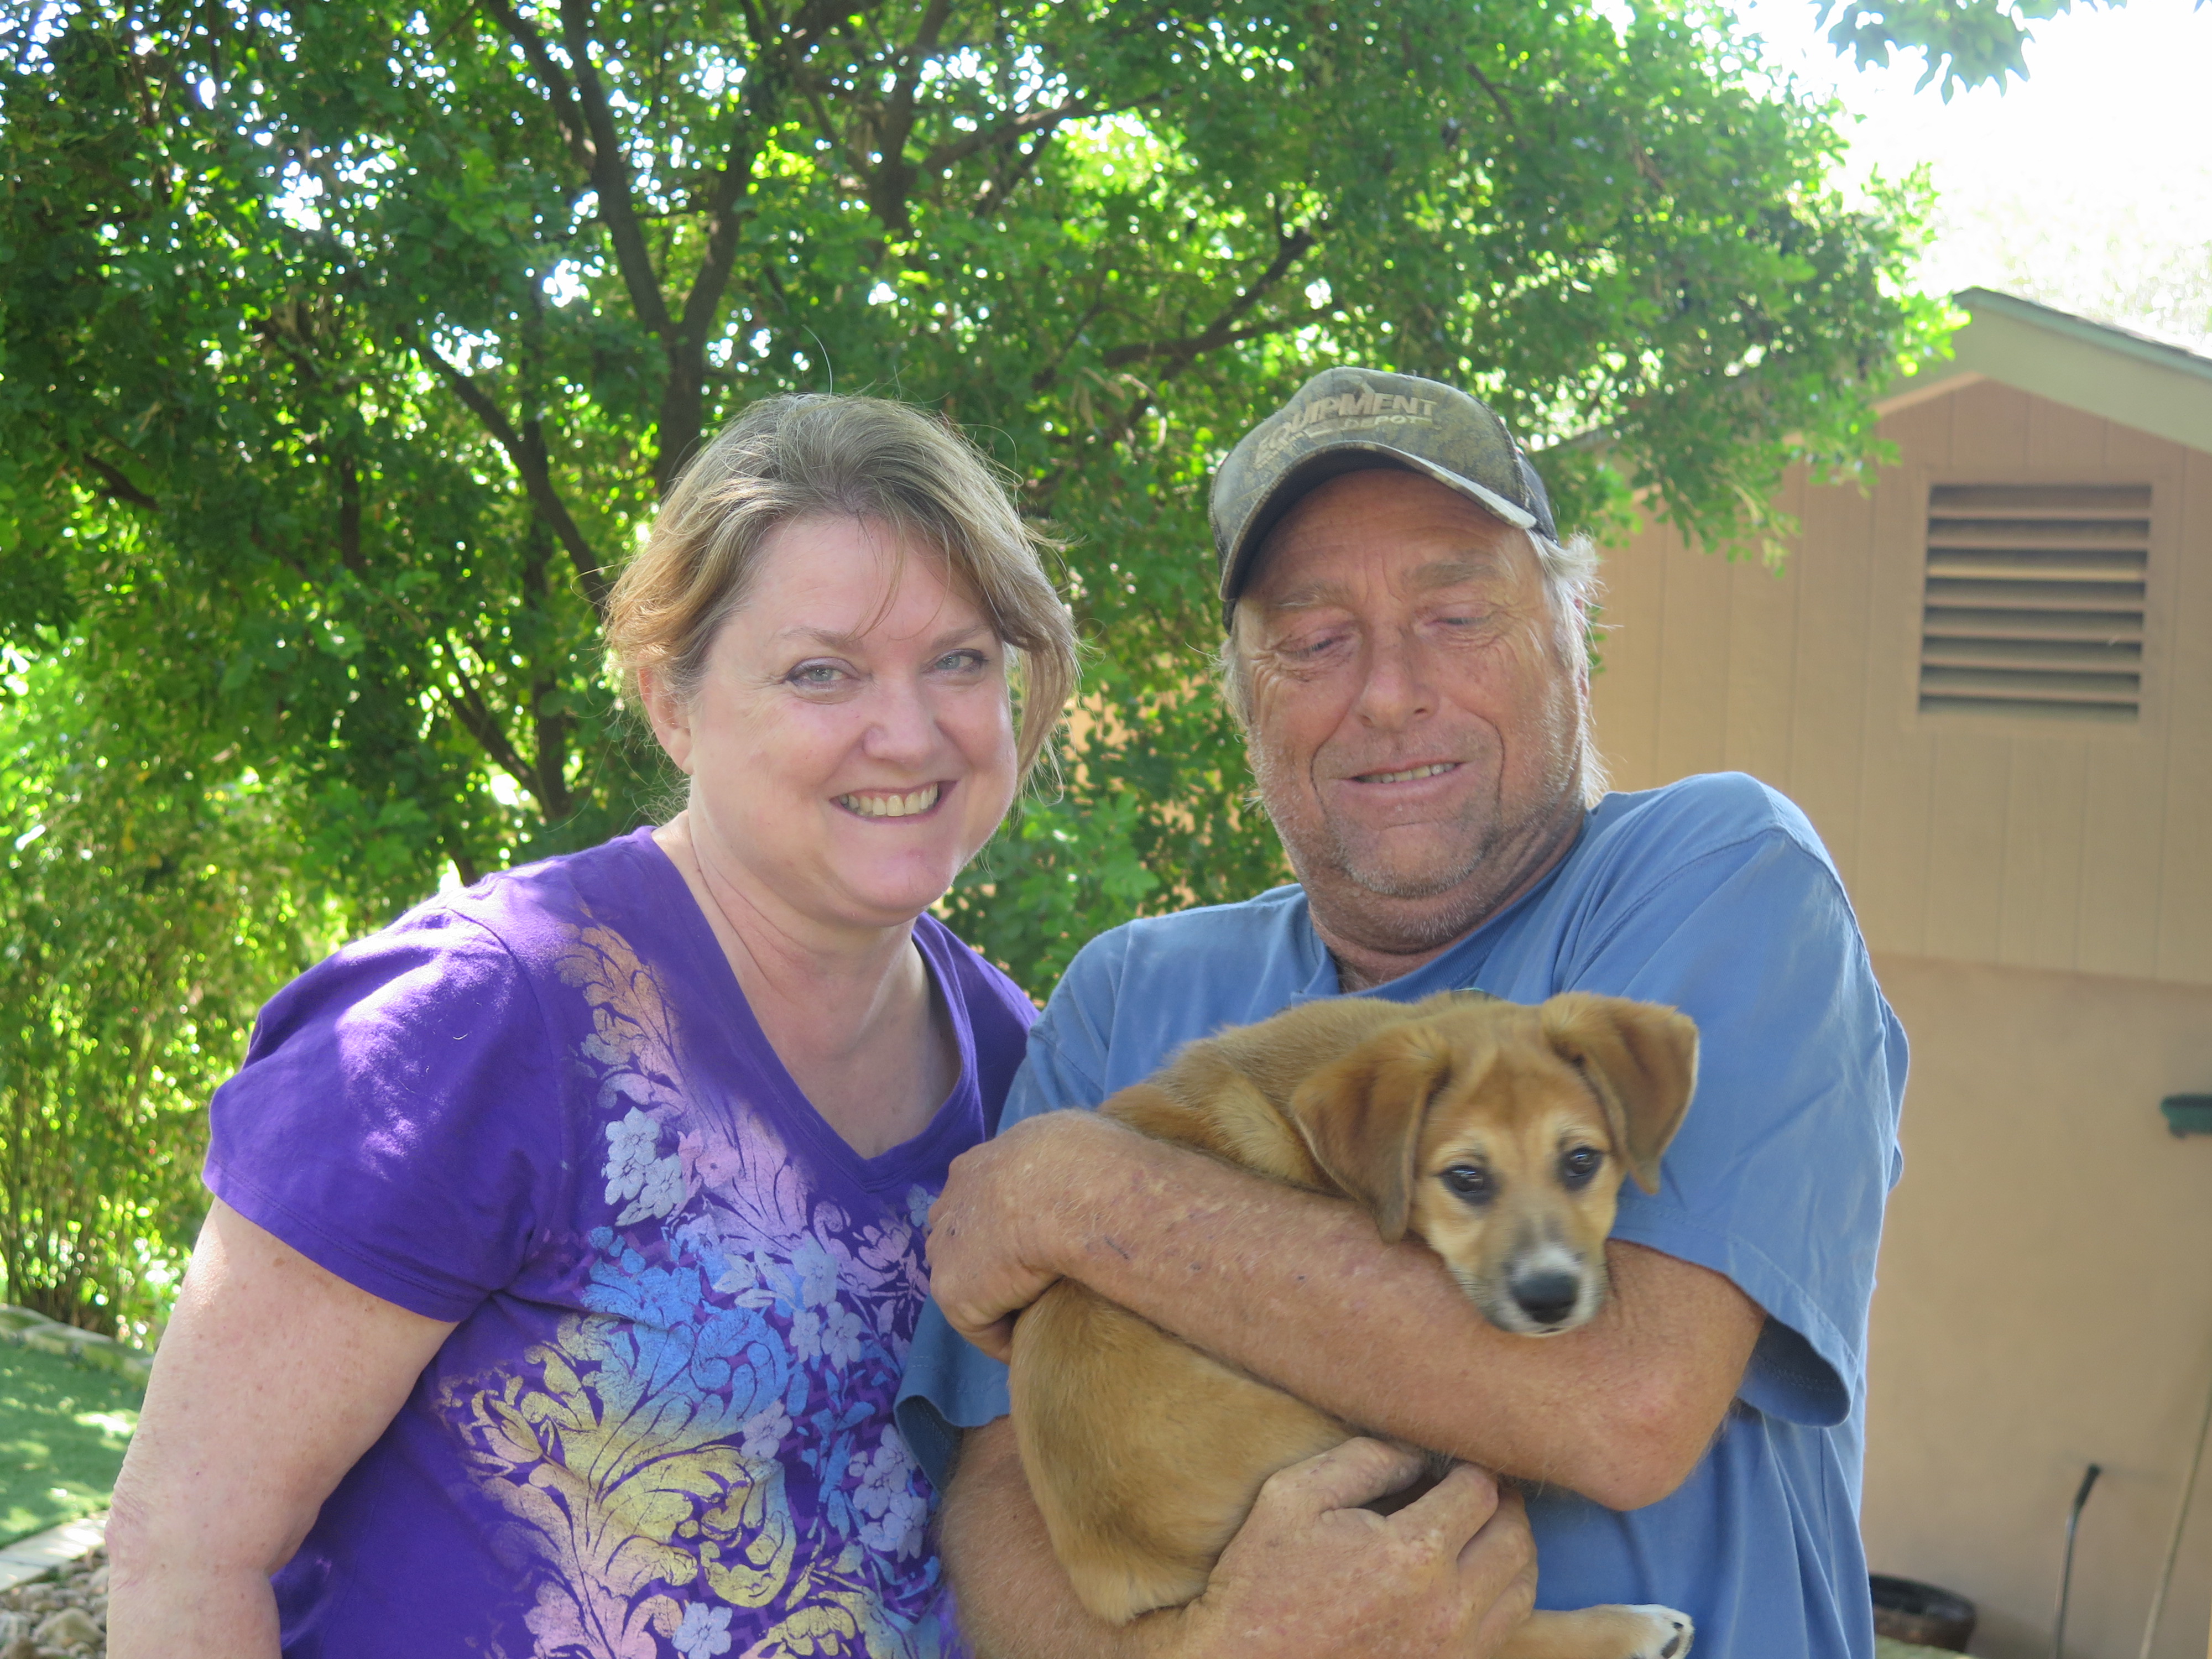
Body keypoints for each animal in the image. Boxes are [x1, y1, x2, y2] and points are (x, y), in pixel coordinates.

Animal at [1007, 989, 1701, 1659]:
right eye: (1466, 1178)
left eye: (1581, 1161)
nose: (1550, 1297)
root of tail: (1127, 1563)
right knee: (1490, 1631)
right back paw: (1634, 1630)